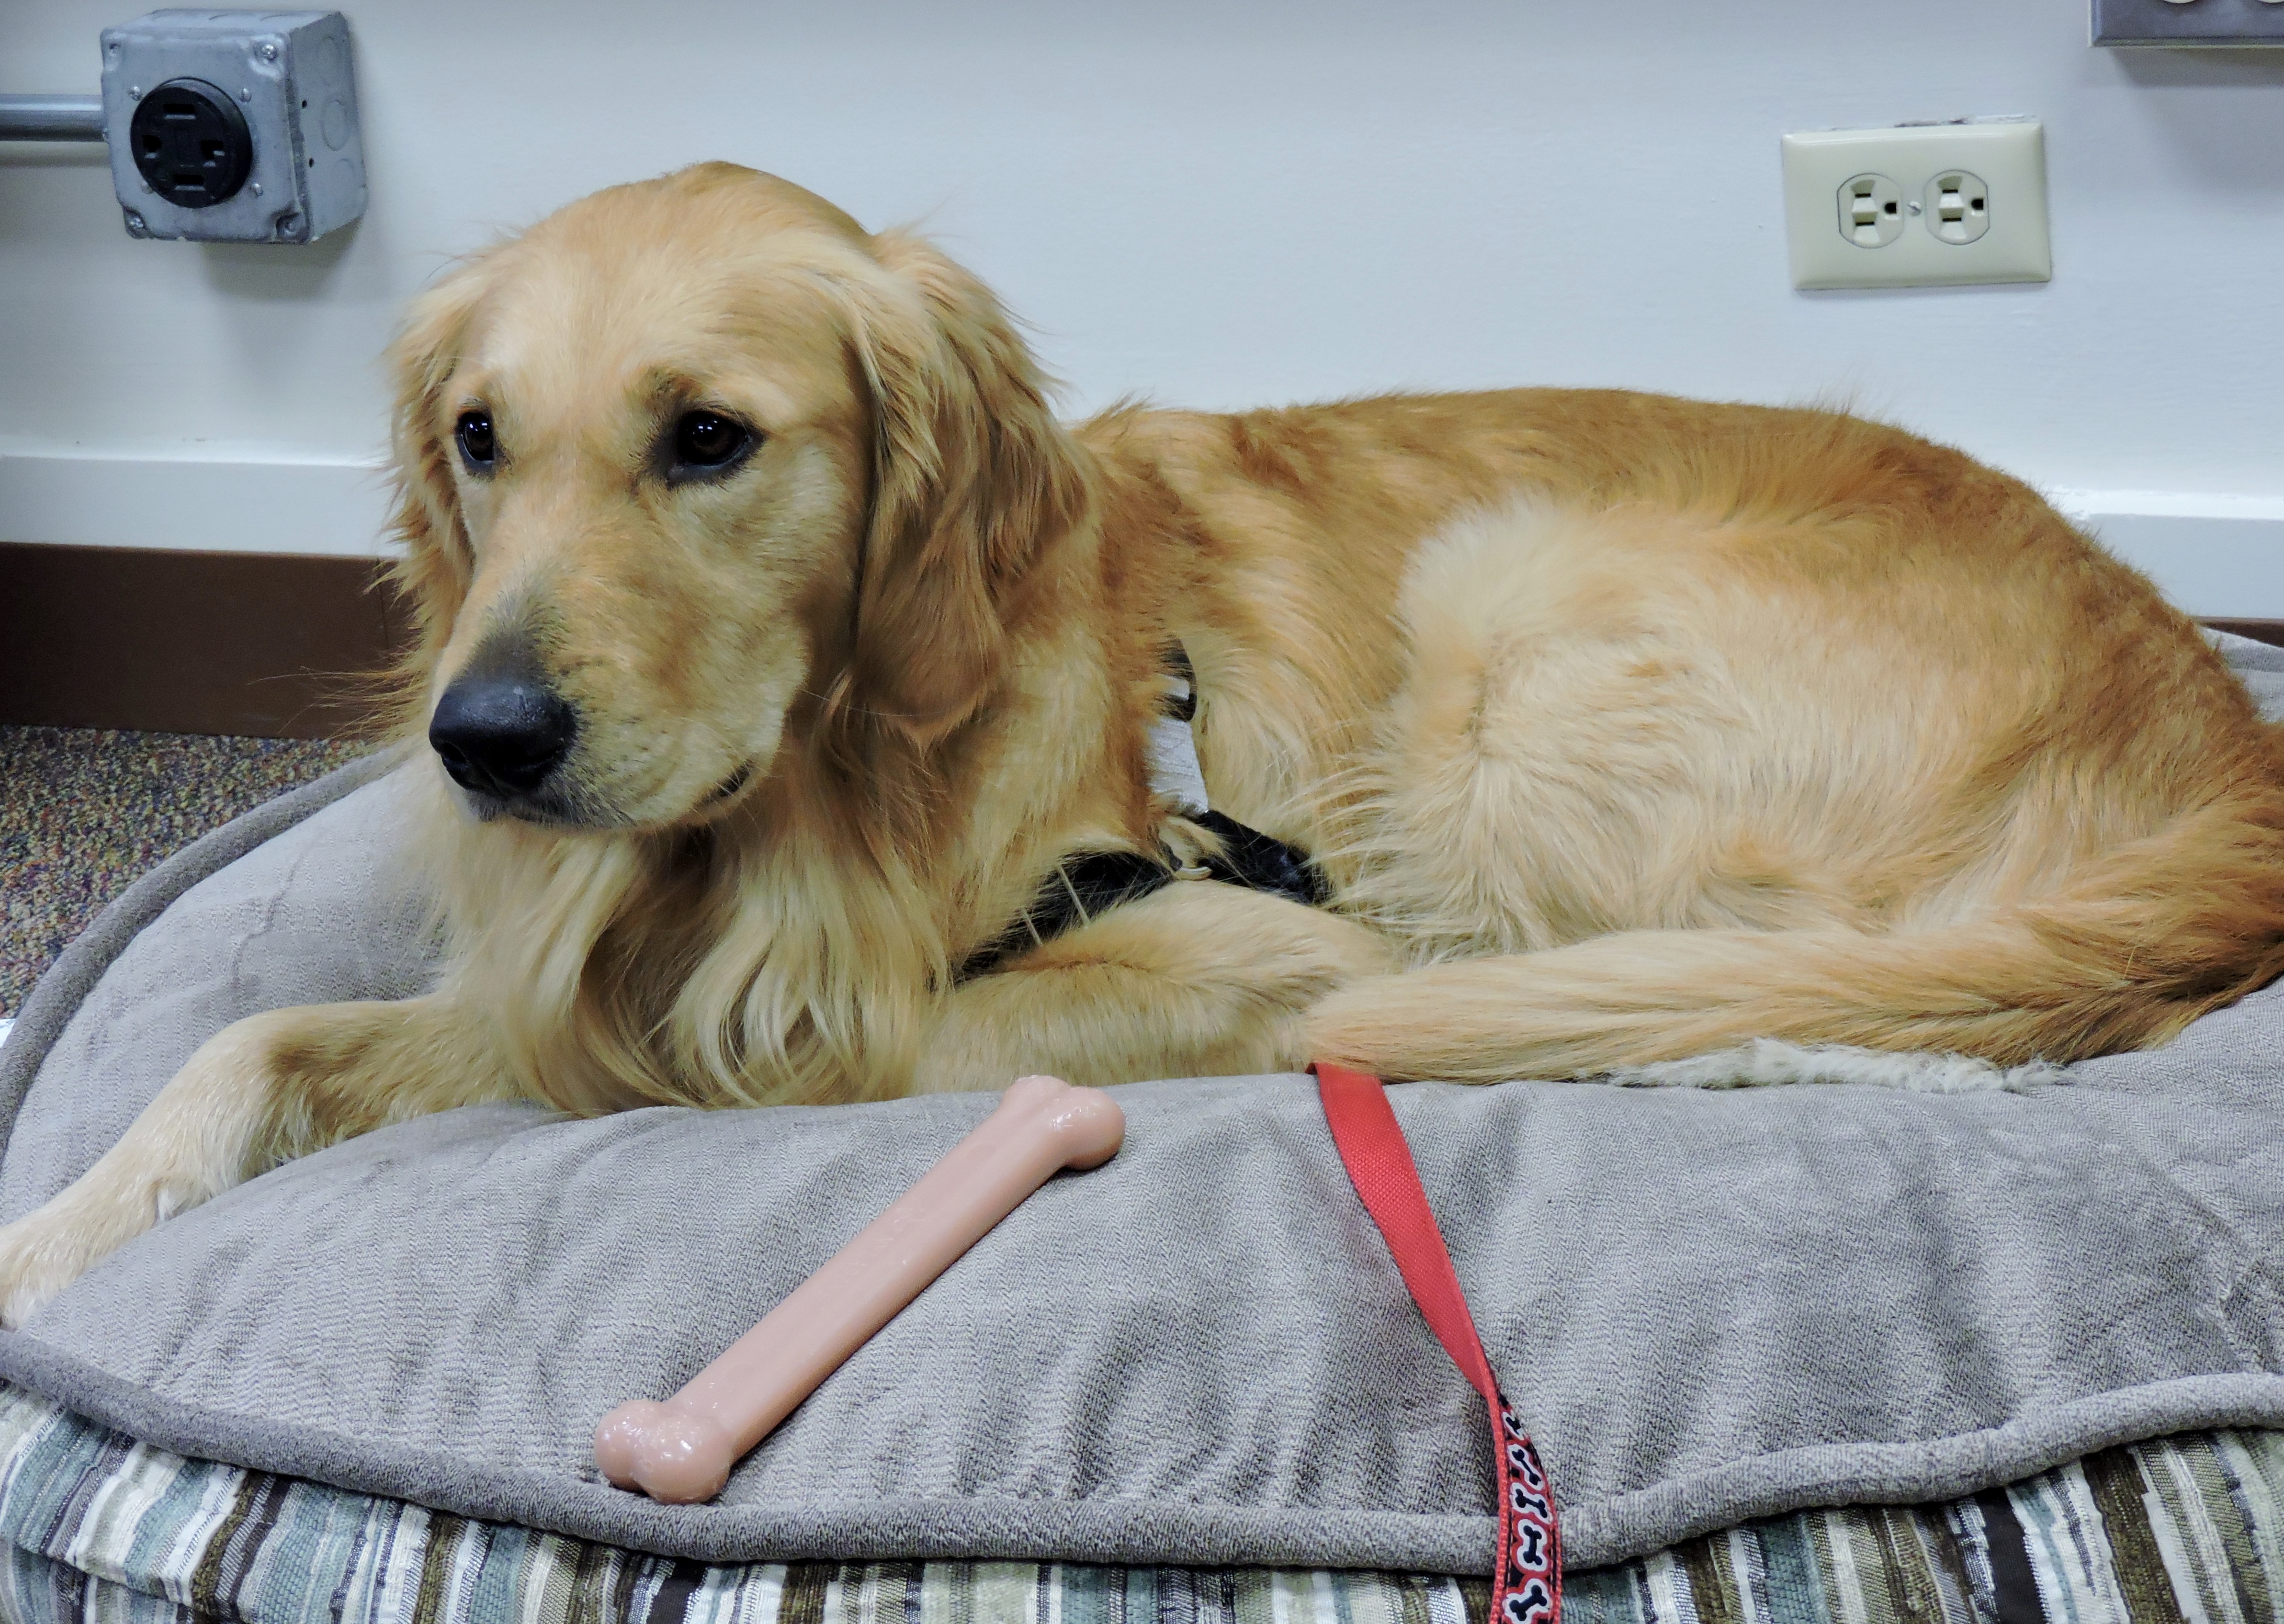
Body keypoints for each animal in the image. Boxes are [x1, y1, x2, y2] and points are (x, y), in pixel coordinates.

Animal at [4, 165, 2284, 1325]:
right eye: (480, 436)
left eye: (710, 438)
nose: (482, 738)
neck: (823, 792)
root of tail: (2220, 728)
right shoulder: (545, 991)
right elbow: (252, 1040)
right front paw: (56, 1236)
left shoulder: (1235, 951)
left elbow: (775, 1051)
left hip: (1506, 614)